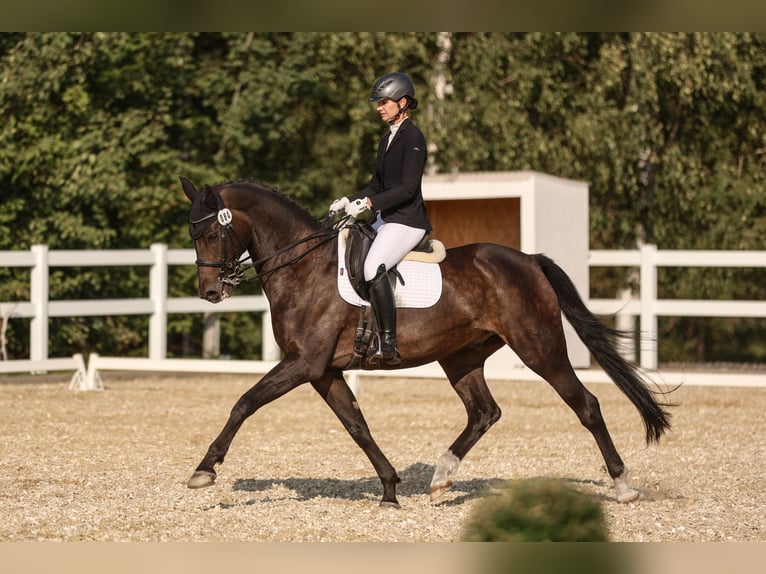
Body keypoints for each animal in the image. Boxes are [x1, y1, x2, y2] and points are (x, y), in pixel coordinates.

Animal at [180, 177, 672, 508]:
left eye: (213, 233)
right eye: (193, 234)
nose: (211, 292)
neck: (302, 265)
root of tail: (528, 261)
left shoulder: (303, 364)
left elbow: (244, 402)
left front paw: (204, 469)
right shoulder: (323, 371)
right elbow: (357, 426)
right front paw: (389, 489)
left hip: (540, 348)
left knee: (586, 405)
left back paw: (623, 486)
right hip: (461, 357)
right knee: (484, 412)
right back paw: (440, 479)